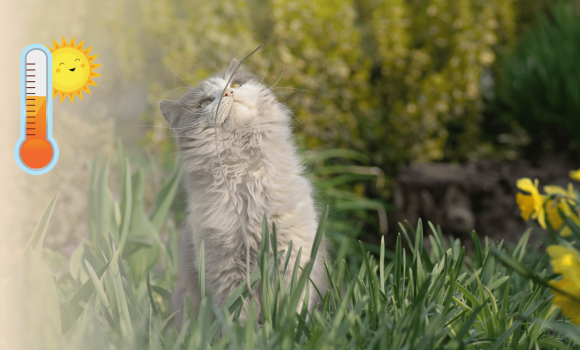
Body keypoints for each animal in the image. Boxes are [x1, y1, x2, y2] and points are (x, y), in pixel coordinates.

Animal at [159, 58, 328, 324]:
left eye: (236, 84)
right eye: (204, 103)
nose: (228, 93)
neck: (248, 178)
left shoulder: (294, 256)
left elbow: (293, 306)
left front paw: (288, 327)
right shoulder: (226, 270)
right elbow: (238, 317)